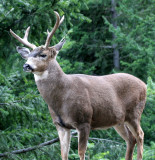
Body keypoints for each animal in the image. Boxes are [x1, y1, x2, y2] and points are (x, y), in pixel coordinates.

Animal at [10, 10, 147, 159]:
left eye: (43, 54)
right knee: (130, 139)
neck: (61, 97)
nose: (26, 65)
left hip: (134, 113)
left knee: (140, 135)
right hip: (119, 120)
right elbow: (63, 153)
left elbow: (81, 152)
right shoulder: (60, 125)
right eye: (28, 55)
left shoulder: (84, 121)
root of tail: (144, 84)